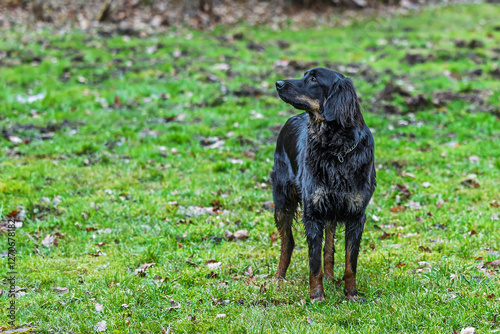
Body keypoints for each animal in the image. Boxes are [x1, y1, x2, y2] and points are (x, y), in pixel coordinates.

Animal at [274, 66, 376, 302]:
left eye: (313, 79)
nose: (278, 83)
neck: (336, 151)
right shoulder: (313, 212)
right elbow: (314, 262)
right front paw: (317, 296)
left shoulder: (356, 214)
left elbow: (350, 262)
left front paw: (351, 294)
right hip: (282, 200)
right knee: (287, 242)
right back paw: (278, 278)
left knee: (328, 248)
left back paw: (330, 277)